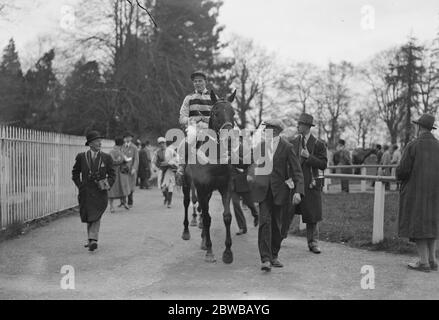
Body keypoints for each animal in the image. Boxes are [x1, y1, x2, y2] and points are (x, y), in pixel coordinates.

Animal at [181, 89, 239, 262]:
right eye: (215, 113)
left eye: (233, 113)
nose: (229, 139)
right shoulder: (201, 188)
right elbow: (207, 218)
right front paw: (210, 251)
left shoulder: (225, 187)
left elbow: (226, 216)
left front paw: (228, 252)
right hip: (187, 184)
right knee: (187, 203)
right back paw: (186, 232)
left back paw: (203, 239)